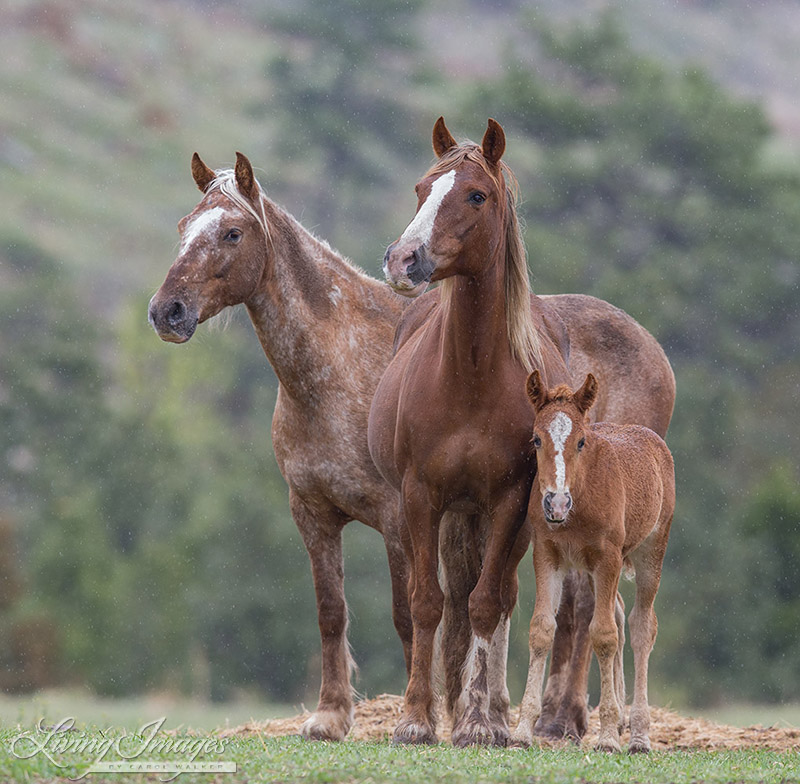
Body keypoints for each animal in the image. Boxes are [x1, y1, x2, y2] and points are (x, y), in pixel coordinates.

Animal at [512, 374, 676, 752]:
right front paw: (523, 731)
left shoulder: (609, 556)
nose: (556, 503)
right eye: (536, 439)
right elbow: (542, 629)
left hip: (651, 550)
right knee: (618, 612)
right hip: (588, 569)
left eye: (582, 441)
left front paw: (608, 737)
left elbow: (603, 634)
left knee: (641, 625)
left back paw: (639, 734)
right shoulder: (547, 554)